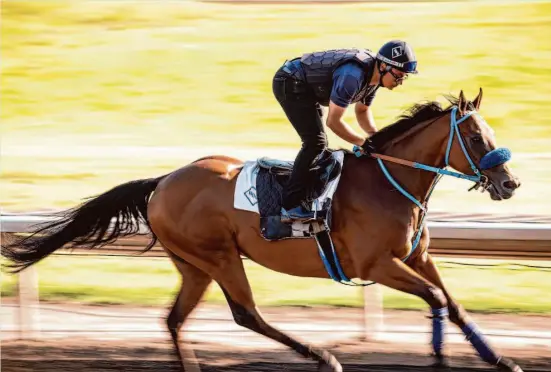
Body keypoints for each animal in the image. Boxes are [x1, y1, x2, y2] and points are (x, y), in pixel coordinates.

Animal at [2, 90, 524, 372]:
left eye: (491, 133)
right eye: (475, 137)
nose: (509, 183)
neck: (388, 181)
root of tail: (163, 181)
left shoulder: (417, 257)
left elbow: (454, 304)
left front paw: (502, 359)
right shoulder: (379, 264)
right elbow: (436, 301)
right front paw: (440, 360)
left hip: (193, 265)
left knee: (175, 320)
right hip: (218, 256)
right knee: (246, 314)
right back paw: (322, 356)